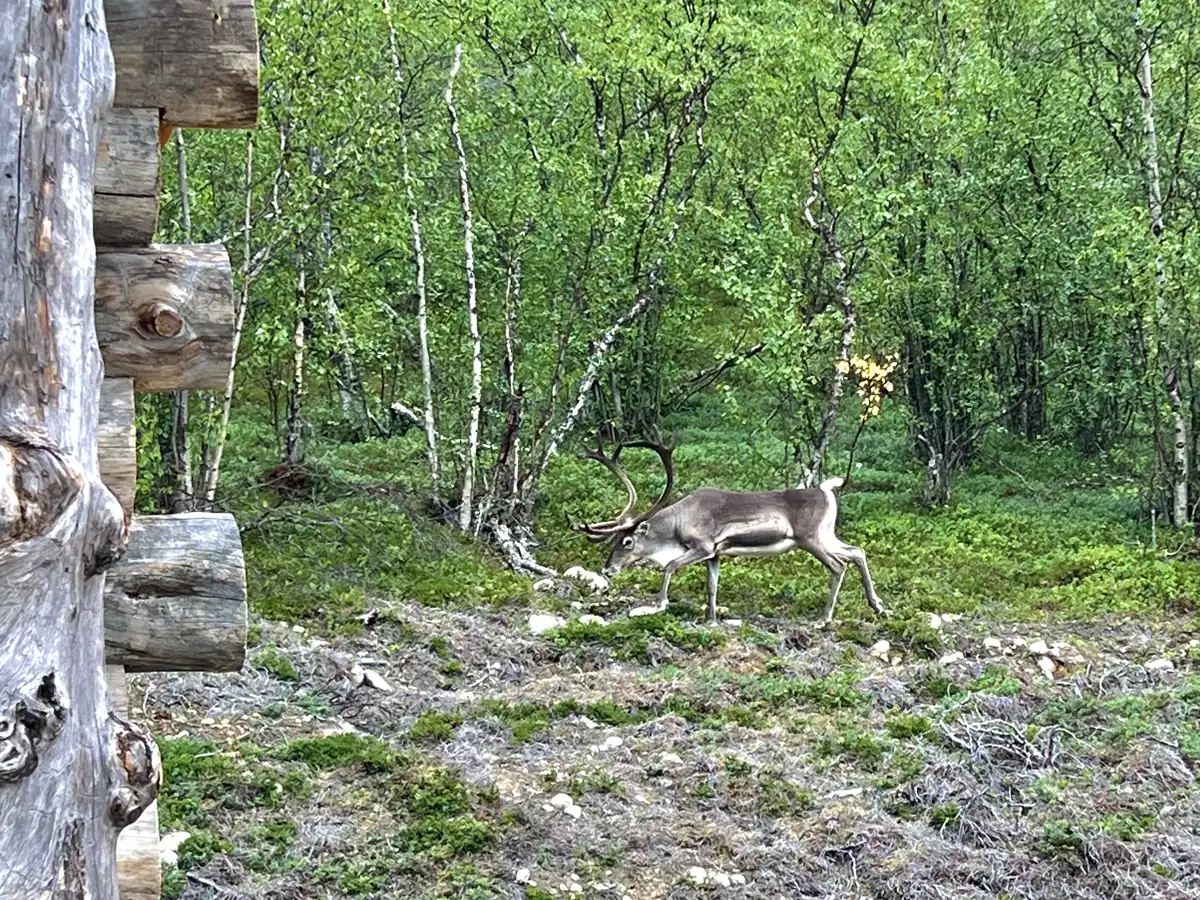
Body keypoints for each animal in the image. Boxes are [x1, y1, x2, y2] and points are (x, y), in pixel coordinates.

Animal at [572, 436, 887, 625]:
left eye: (626, 541)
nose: (608, 569)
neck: (677, 525)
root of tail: (827, 490)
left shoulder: (702, 546)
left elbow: (670, 566)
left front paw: (658, 604)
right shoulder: (715, 554)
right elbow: (712, 585)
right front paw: (711, 619)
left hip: (810, 538)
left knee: (839, 565)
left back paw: (825, 618)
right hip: (826, 535)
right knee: (857, 552)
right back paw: (878, 605)